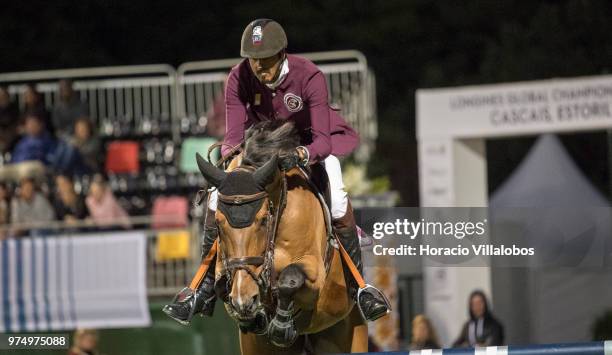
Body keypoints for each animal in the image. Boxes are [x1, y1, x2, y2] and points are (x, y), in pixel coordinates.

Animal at [197, 121, 368, 354]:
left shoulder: (315, 272)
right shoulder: (228, 269)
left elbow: (290, 278)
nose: (244, 302)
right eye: (218, 224)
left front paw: (280, 326)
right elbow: (221, 285)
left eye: (262, 220)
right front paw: (255, 316)